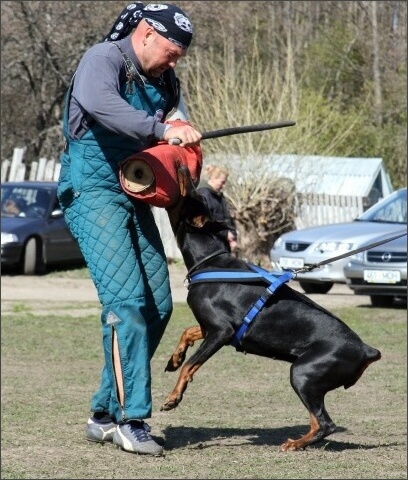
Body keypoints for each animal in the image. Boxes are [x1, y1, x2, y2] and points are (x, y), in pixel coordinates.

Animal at [161, 167, 380, 452]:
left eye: (191, 193)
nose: (185, 169)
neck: (208, 262)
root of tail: (366, 349)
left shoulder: (221, 332)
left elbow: (190, 365)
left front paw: (173, 397)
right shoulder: (212, 328)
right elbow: (187, 332)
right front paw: (174, 359)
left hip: (303, 374)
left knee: (325, 423)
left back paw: (295, 444)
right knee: (320, 422)